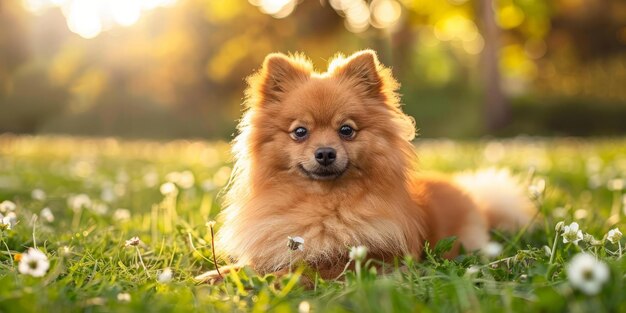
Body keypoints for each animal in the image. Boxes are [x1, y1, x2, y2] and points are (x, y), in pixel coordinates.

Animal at [207, 50, 532, 280]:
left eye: (346, 130)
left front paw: (276, 279)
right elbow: (247, 267)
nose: (325, 153)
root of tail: (474, 198)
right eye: (300, 132)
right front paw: (214, 276)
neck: (323, 206)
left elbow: (309, 269)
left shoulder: (370, 258)